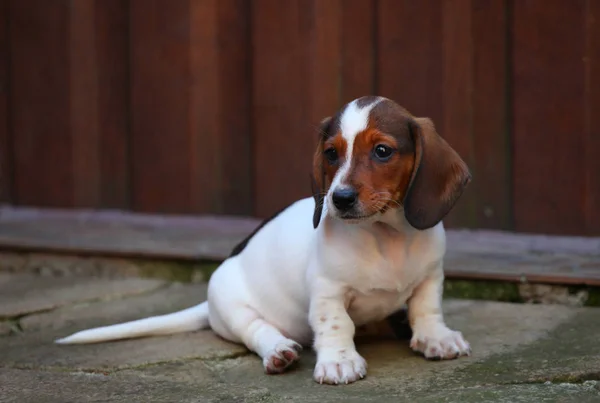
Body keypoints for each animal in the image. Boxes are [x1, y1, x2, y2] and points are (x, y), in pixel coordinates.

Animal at [54, 96, 472, 386]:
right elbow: (336, 325)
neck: (385, 237)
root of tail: (207, 306)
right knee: (257, 332)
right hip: (236, 310)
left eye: (382, 151)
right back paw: (278, 352)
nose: (339, 199)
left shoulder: (430, 278)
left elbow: (426, 310)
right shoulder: (328, 293)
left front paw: (436, 339)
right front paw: (339, 360)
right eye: (331, 153)